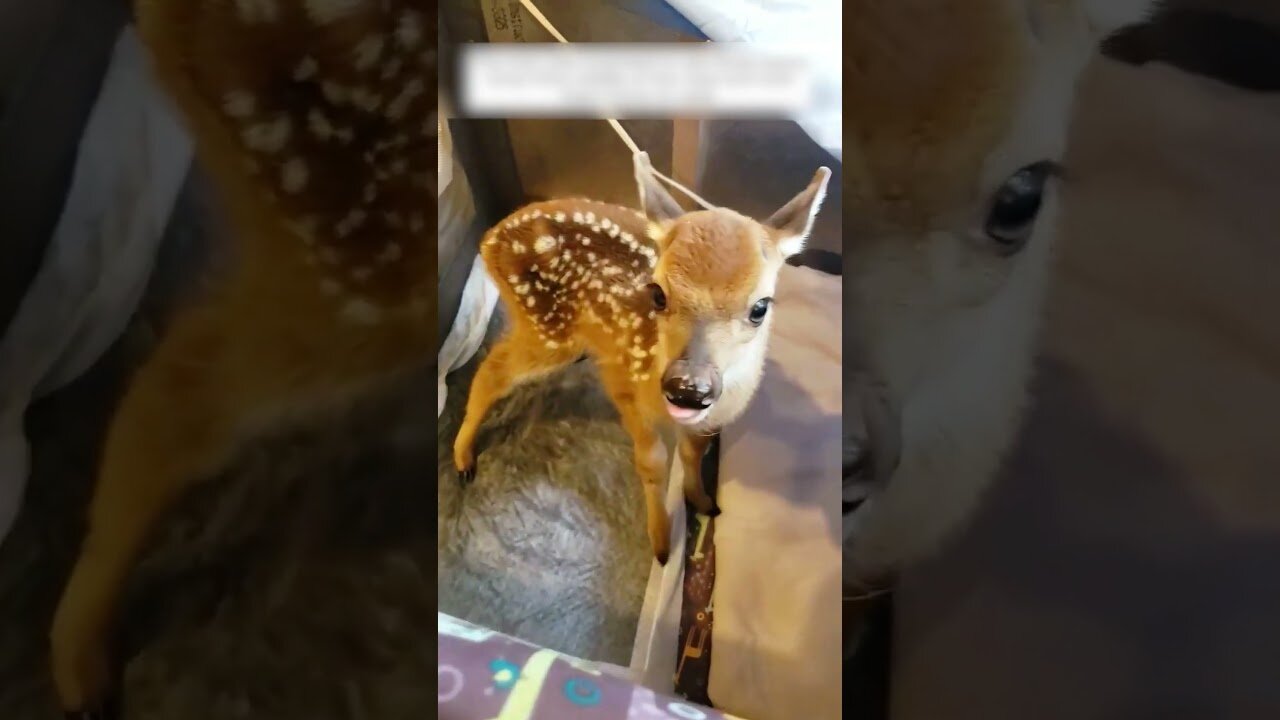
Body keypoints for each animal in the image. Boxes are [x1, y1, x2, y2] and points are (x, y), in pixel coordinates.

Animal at [452, 153, 831, 565]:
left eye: (760, 307)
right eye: (658, 294)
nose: (687, 388)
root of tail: (489, 238)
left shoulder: (703, 421)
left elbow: (691, 452)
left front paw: (702, 501)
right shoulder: (622, 381)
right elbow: (652, 463)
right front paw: (661, 543)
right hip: (548, 328)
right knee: (491, 370)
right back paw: (463, 460)